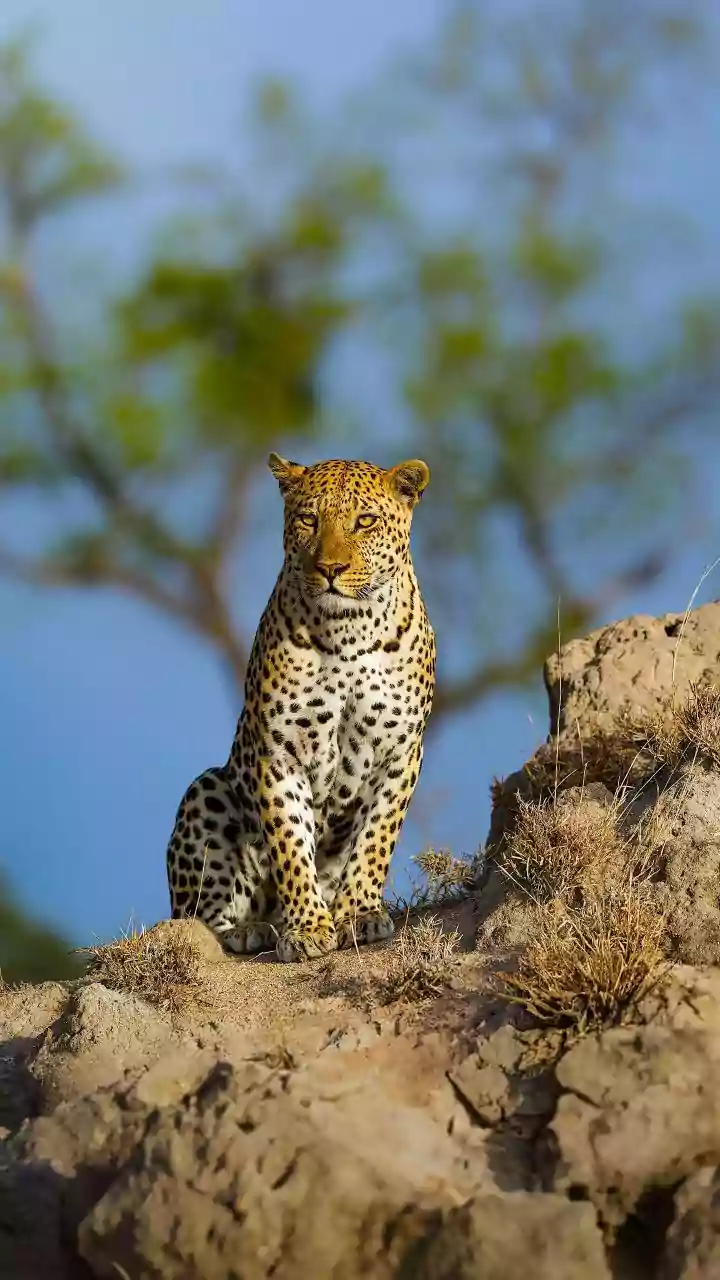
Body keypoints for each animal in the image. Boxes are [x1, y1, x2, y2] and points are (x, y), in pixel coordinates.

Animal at [166, 453, 435, 962]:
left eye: (365, 521)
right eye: (309, 520)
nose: (331, 568)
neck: (350, 630)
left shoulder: (401, 750)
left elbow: (376, 838)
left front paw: (357, 914)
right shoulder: (278, 752)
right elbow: (290, 843)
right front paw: (309, 928)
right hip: (207, 789)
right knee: (196, 916)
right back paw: (247, 930)